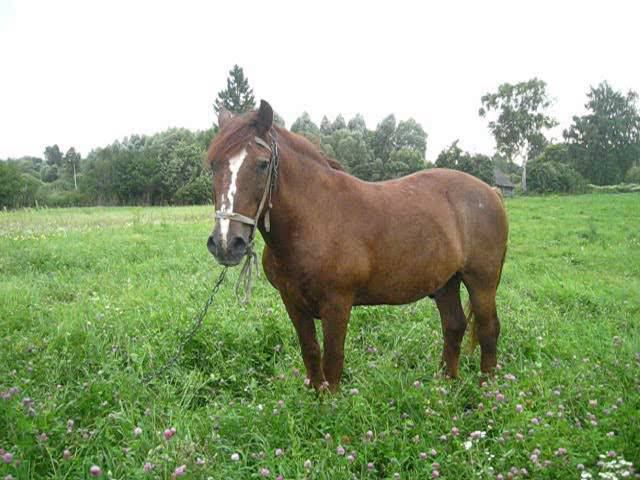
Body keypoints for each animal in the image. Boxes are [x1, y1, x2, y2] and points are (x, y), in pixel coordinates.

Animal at [206, 100, 508, 392]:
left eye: (263, 164)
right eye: (213, 165)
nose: (226, 243)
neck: (314, 218)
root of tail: (491, 192)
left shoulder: (337, 304)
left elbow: (332, 363)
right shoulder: (293, 303)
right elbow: (311, 355)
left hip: (482, 282)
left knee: (488, 329)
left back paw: (487, 391)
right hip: (446, 283)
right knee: (454, 326)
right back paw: (445, 387)